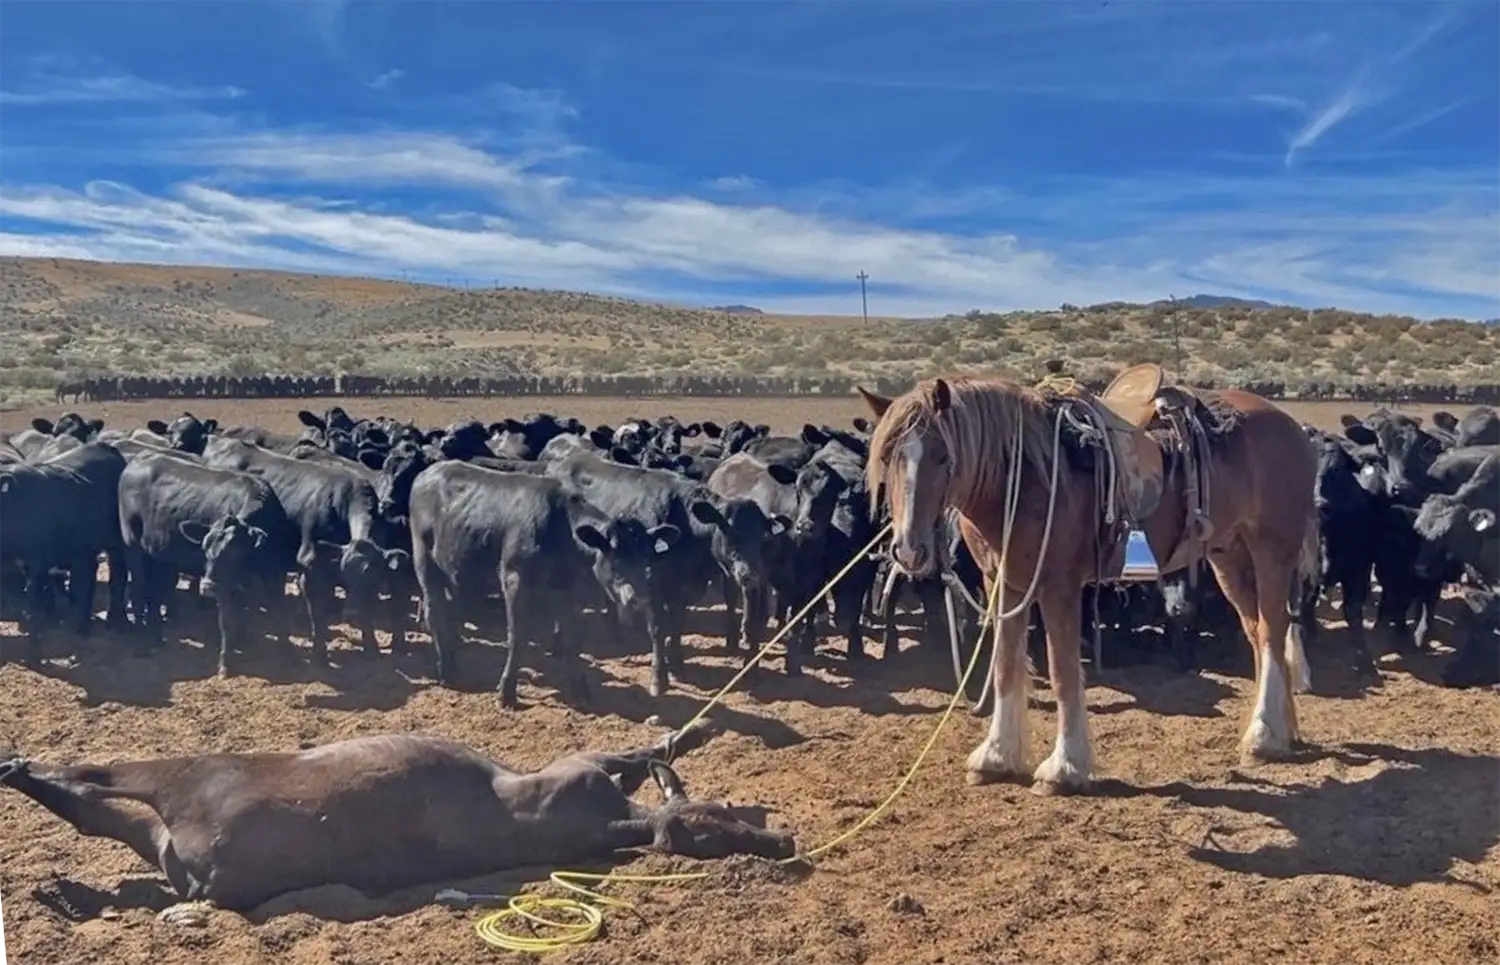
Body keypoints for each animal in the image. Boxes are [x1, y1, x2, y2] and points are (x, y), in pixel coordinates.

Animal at [858, 368, 1318, 795]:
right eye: (888, 456)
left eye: (942, 455)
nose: (909, 550)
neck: (1027, 476)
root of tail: (1290, 425)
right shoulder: (1004, 585)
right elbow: (1006, 665)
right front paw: (996, 757)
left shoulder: (1058, 586)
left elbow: (1062, 671)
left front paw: (1064, 767)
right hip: (1230, 556)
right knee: (1257, 632)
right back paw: (1283, 730)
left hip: (1271, 552)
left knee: (1273, 633)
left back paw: (1264, 735)